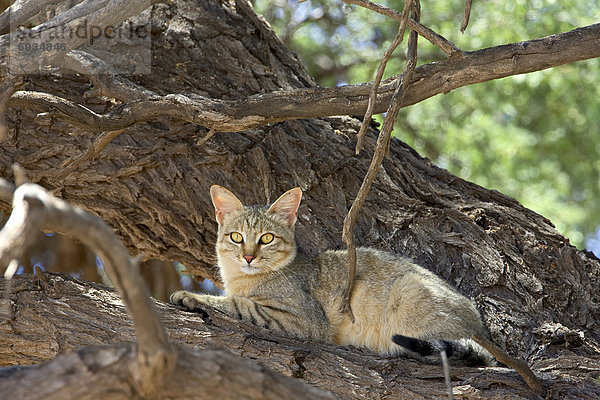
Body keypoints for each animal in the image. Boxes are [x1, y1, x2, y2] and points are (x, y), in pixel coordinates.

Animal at [171, 184, 494, 366]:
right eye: (237, 237)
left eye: (267, 238)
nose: (248, 257)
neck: (240, 279)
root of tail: (480, 328)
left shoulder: (302, 320)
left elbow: (238, 304)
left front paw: (191, 296)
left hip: (409, 292)